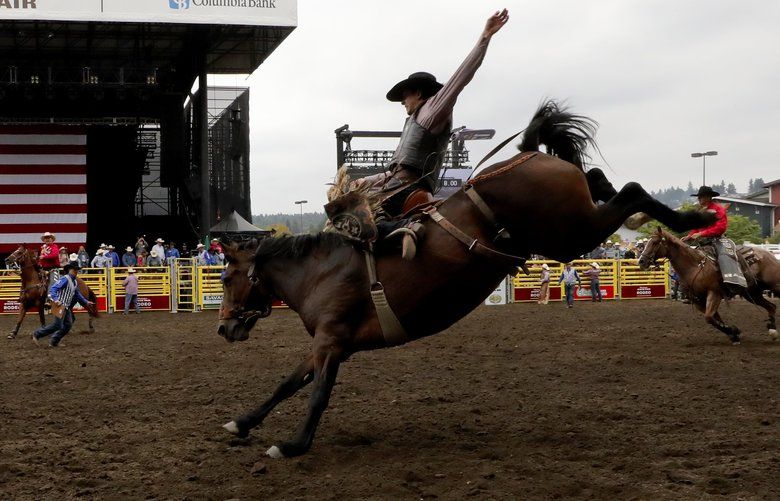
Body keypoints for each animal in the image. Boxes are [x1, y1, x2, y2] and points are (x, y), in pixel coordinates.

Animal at [216, 99, 716, 456]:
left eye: (224, 278)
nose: (223, 327)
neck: (322, 270)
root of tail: (526, 152)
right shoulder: (327, 342)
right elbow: (288, 383)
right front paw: (242, 422)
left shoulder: (332, 341)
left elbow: (317, 392)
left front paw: (292, 445)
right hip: (574, 224)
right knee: (601, 180)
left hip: (569, 234)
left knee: (630, 192)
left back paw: (690, 217)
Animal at [640, 227, 780, 344]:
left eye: (655, 242)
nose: (641, 261)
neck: (695, 266)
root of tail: (769, 255)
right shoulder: (698, 301)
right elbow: (713, 319)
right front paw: (734, 333)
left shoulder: (714, 293)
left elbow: (709, 317)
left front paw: (733, 332)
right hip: (752, 293)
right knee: (772, 307)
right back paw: (772, 330)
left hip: (773, 285)